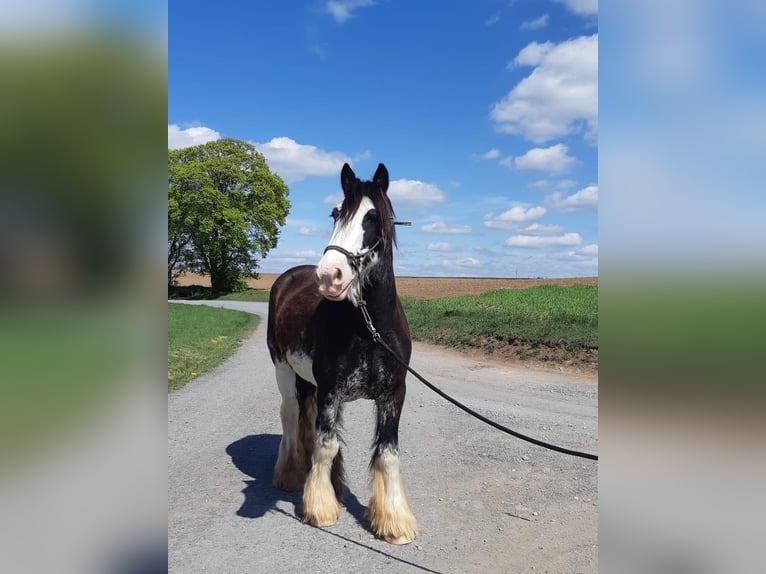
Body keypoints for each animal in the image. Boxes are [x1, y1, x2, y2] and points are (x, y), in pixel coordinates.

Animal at [266, 164, 420, 548]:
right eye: (335, 213)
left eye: (372, 217)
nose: (329, 276)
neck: (369, 327)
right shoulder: (331, 390)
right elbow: (326, 445)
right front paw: (320, 509)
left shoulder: (393, 394)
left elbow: (387, 453)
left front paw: (394, 521)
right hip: (284, 372)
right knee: (291, 415)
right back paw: (291, 474)